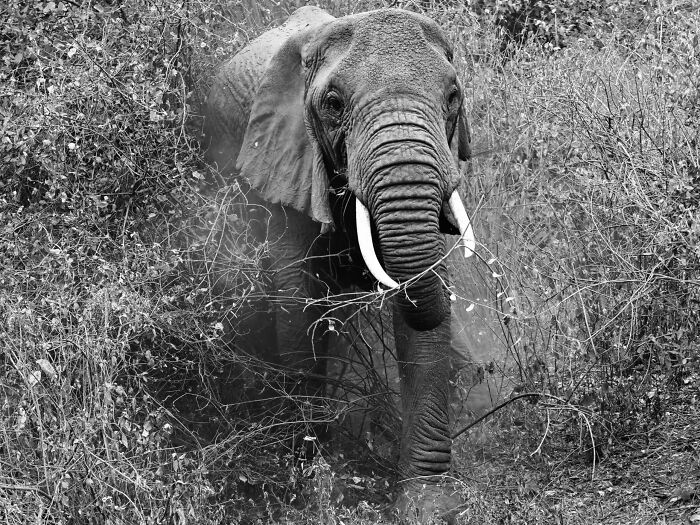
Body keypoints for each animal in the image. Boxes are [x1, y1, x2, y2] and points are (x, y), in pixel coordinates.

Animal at [203, 5, 477, 522]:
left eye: (452, 98)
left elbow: (424, 310)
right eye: (333, 104)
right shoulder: (284, 160)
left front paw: (427, 503)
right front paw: (312, 482)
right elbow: (297, 302)